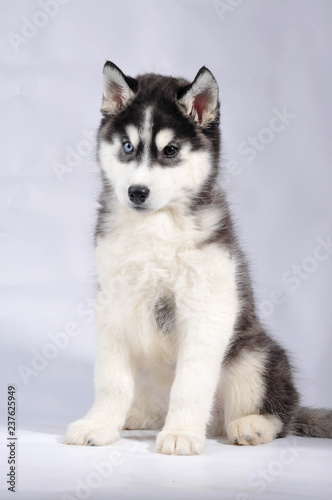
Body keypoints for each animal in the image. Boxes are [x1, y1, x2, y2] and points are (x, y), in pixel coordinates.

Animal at [63, 61, 330, 454]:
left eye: (171, 150)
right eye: (127, 146)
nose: (137, 192)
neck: (156, 227)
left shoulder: (208, 304)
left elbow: (190, 383)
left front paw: (181, 434)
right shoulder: (113, 302)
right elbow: (111, 379)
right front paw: (99, 425)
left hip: (256, 356)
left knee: (282, 414)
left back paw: (250, 426)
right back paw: (136, 416)